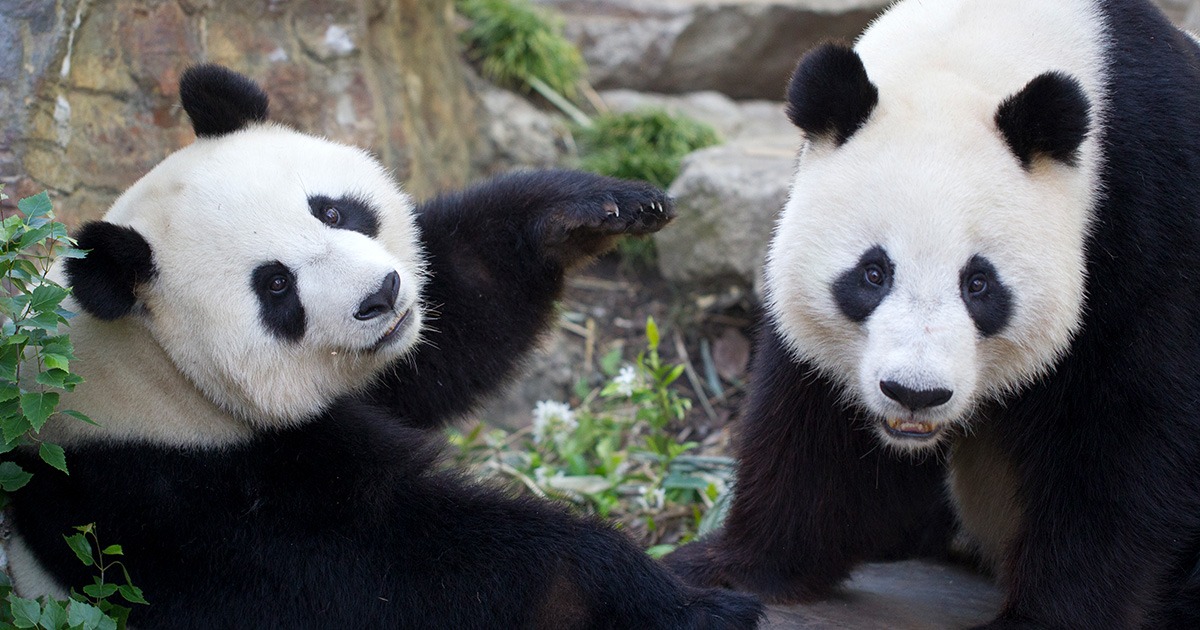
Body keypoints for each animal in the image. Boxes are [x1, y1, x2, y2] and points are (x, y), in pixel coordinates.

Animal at [4, 65, 763, 628]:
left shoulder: (388, 361)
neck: (152, 374)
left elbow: (454, 317)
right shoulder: (178, 500)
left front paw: (590, 210)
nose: (382, 294)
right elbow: (393, 574)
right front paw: (674, 603)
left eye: (333, 210)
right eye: (276, 286)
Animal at [672, 0, 1200, 624]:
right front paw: (731, 569)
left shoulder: (1154, 216)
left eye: (978, 284)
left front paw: (1049, 615)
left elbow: (1128, 438)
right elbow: (817, 428)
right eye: (873, 273)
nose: (914, 394)